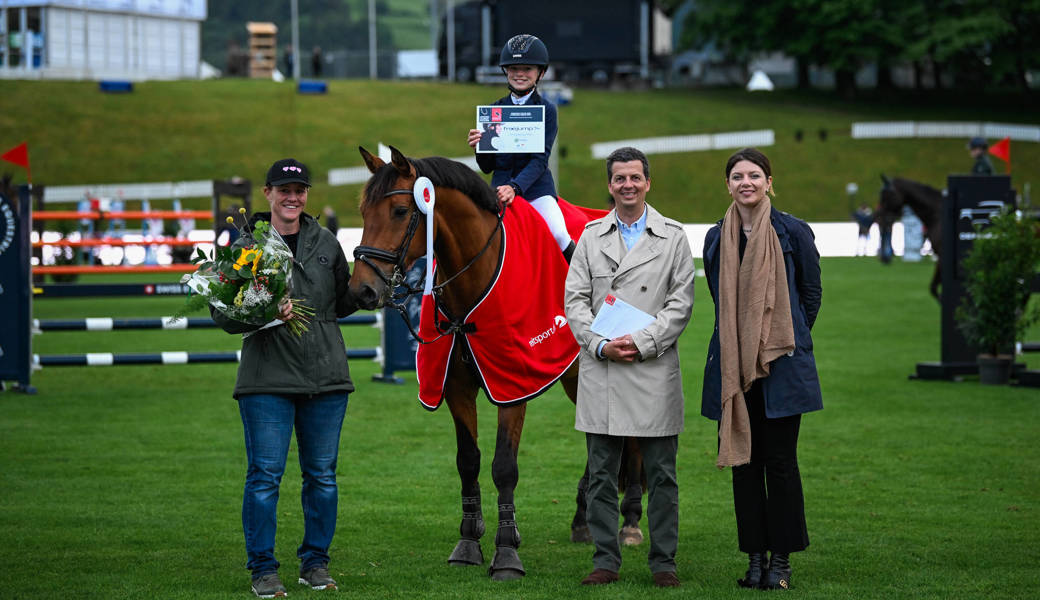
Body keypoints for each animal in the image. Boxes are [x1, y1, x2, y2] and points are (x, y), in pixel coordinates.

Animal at [349, 145, 640, 582]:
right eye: (364, 212)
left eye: (400, 211)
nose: (362, 291)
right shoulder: (455, 388)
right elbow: (468, 461)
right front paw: (469, 541)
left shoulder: (513, 386)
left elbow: (504, 466)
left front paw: (506, 553)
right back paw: (583, 518)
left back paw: (631, 521)